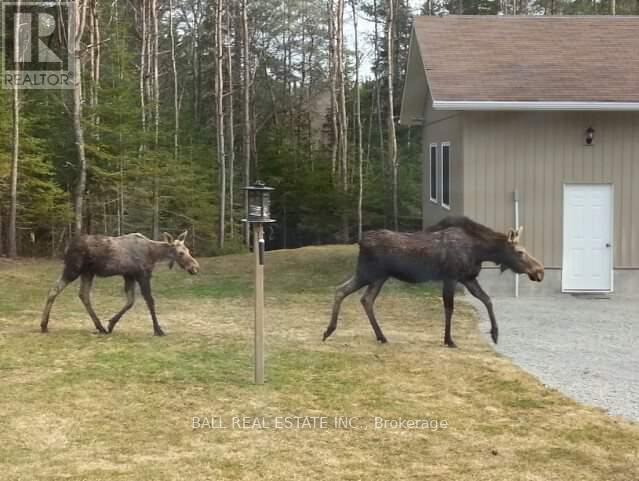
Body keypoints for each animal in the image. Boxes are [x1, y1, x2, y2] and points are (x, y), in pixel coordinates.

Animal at [40, 231, 200, 336]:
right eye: (180, 253)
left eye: (188, 250)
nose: (195, 268)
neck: (153, 254)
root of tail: (67, 247)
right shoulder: (142, 275)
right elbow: (150, 301)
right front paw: (158, 329)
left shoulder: (129, 275)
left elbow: (130, 301)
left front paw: (111, 324)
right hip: (73, 269)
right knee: (54, 289)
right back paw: (43, 325)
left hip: (88, 273)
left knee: (83, 295)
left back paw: (100, 327)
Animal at [324, 216, 544, 346]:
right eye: (520, 252)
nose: (540, 271)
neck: (480, 252)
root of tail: (360, 241)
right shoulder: (451, 277)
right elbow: (449, 308)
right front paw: (449, 339)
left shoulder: (467, 278)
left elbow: (487, 300)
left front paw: (495, 333)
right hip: (368, 273)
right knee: (342, 290)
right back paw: (329, 330)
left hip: (378, 277)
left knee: (363, 298)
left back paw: (379, 336)